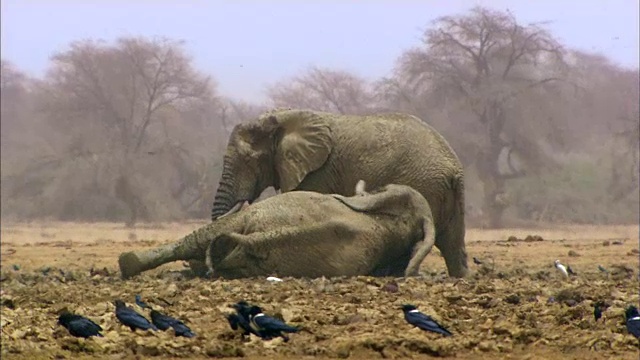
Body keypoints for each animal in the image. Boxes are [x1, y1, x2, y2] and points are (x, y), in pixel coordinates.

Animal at [212, 108, 468, 278]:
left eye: (248, 160)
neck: (282, 117)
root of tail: (453, 168)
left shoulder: (318, 171)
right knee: (454, 246)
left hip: (423, 184)